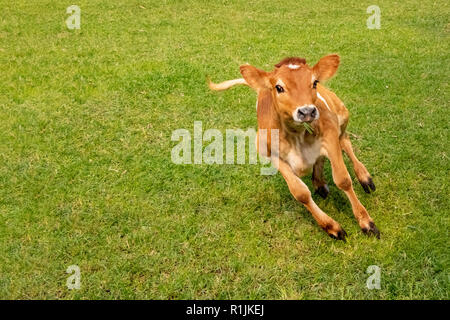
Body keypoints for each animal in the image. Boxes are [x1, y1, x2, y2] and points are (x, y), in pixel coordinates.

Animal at [209, 55, 378, 240]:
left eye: (314, 82)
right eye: (279, 87)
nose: (307, 111)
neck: (297, 136)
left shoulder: (330, 134)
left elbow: (343, 179)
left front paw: (366, 222)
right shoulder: (272, 155)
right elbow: (300, 192)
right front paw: (331, 227)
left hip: (341, 114)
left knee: (345, 141)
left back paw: (364, 178)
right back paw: (319, 183)